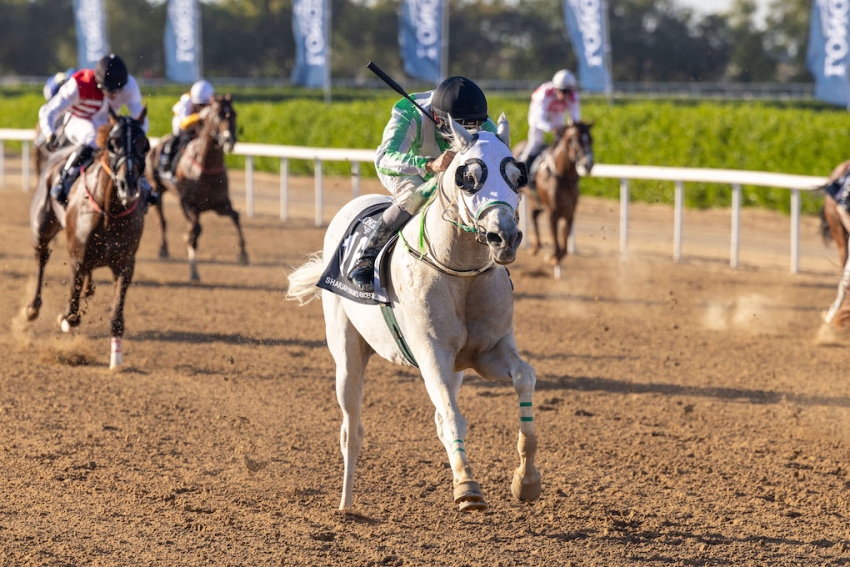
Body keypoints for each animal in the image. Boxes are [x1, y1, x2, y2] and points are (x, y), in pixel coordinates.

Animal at [22, 108, 149, 370]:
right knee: (41, 258)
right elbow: (71, 311)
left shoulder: (125, 264)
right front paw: (65, 318)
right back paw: (32, 308)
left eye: (145, 144)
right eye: (113, 143)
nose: (129, 184)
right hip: (42, 227)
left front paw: (116, 361)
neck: (109, 211)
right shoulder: (77, 258)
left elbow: (117, 318)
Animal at [144, 94, 245, 282]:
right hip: (157, 190)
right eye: (217, 115)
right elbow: (195, 231)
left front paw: (243, 253)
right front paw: (193, 271)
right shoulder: (188, 204)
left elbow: (235, 216)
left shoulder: (220, 204)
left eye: (234, 114)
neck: (205, 167)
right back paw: (163, 250)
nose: (229, 140)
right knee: (162, 221)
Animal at [284, 115, 536, 516]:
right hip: (347, 354)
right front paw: (467, 488)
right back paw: (345, 505)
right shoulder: (431, 352)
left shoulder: (486, 354)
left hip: (455, 369)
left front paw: (526, 480)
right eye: (469, 177)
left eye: (517, 175)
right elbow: (452, 416)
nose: (505, 237)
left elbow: (525, 378)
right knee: (351, 430)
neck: (459, 272)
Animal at [512, 122, 592, 280]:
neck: (563, 177)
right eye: (577, 140)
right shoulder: (552, 213)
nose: (588, 164)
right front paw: (551, 257)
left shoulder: (569, 213)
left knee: (534, 215)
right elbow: (555, 241)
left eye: (591, 140)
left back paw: (535, 247)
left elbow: (564, 246)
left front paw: (554, 259)